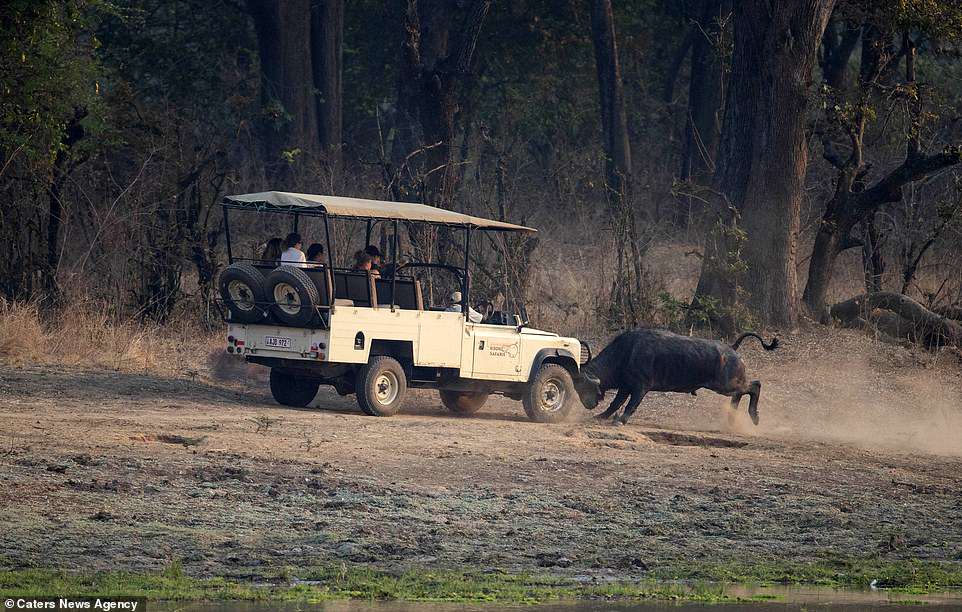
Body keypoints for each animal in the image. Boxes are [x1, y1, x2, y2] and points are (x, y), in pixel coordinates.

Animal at [574, 329, 779, 425]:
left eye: (582, 384)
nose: (588, 404)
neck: (627, 352)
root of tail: (732, 348)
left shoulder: (640, 388)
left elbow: (630, 405)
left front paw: (620, 420)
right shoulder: (626, 387)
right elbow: (615, 404)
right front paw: (600, 416)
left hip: (726, 385)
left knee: (755, 385)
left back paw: (754, 416)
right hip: (728, 386)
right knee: (742, 393)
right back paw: (731, 417)